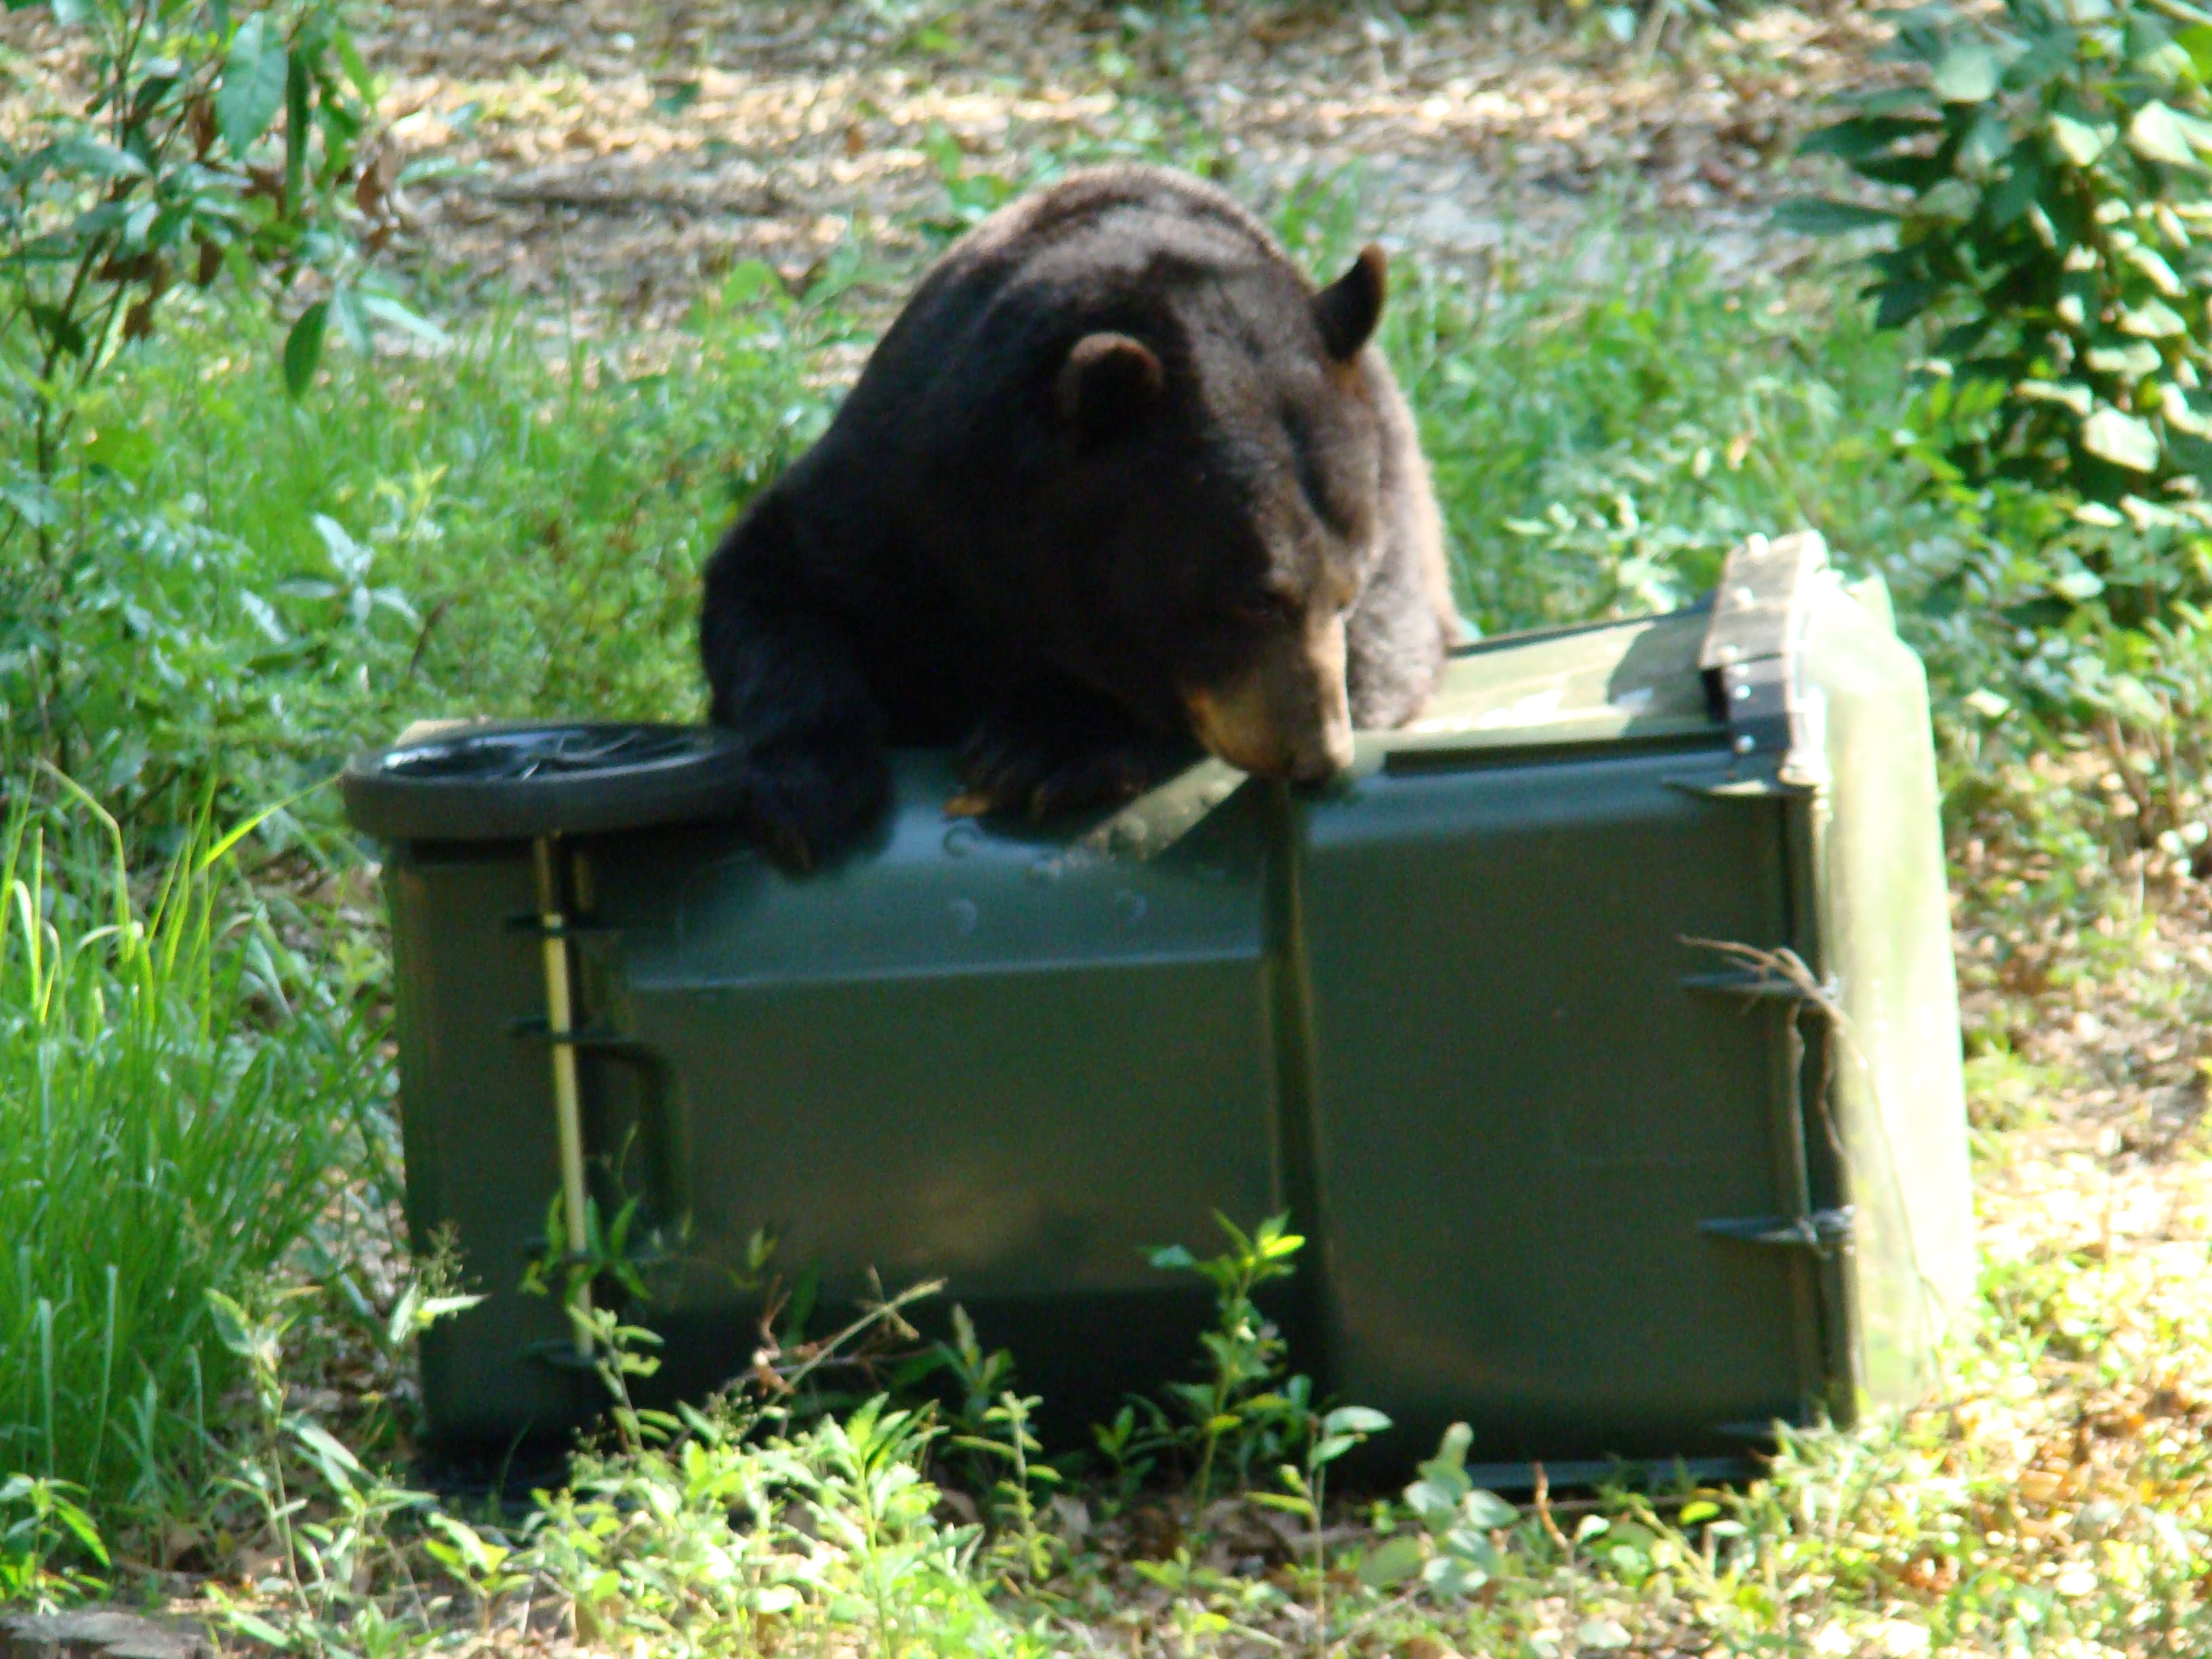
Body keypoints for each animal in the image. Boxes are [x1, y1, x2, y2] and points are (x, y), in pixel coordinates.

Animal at [698, 163, 1464, 870]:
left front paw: (1045, 743)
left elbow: (1385, 653)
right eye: (1254, 598)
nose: (1319, 755)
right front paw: (810, 792)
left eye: (1346, 591)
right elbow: (772, 584)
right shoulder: (899, 490)